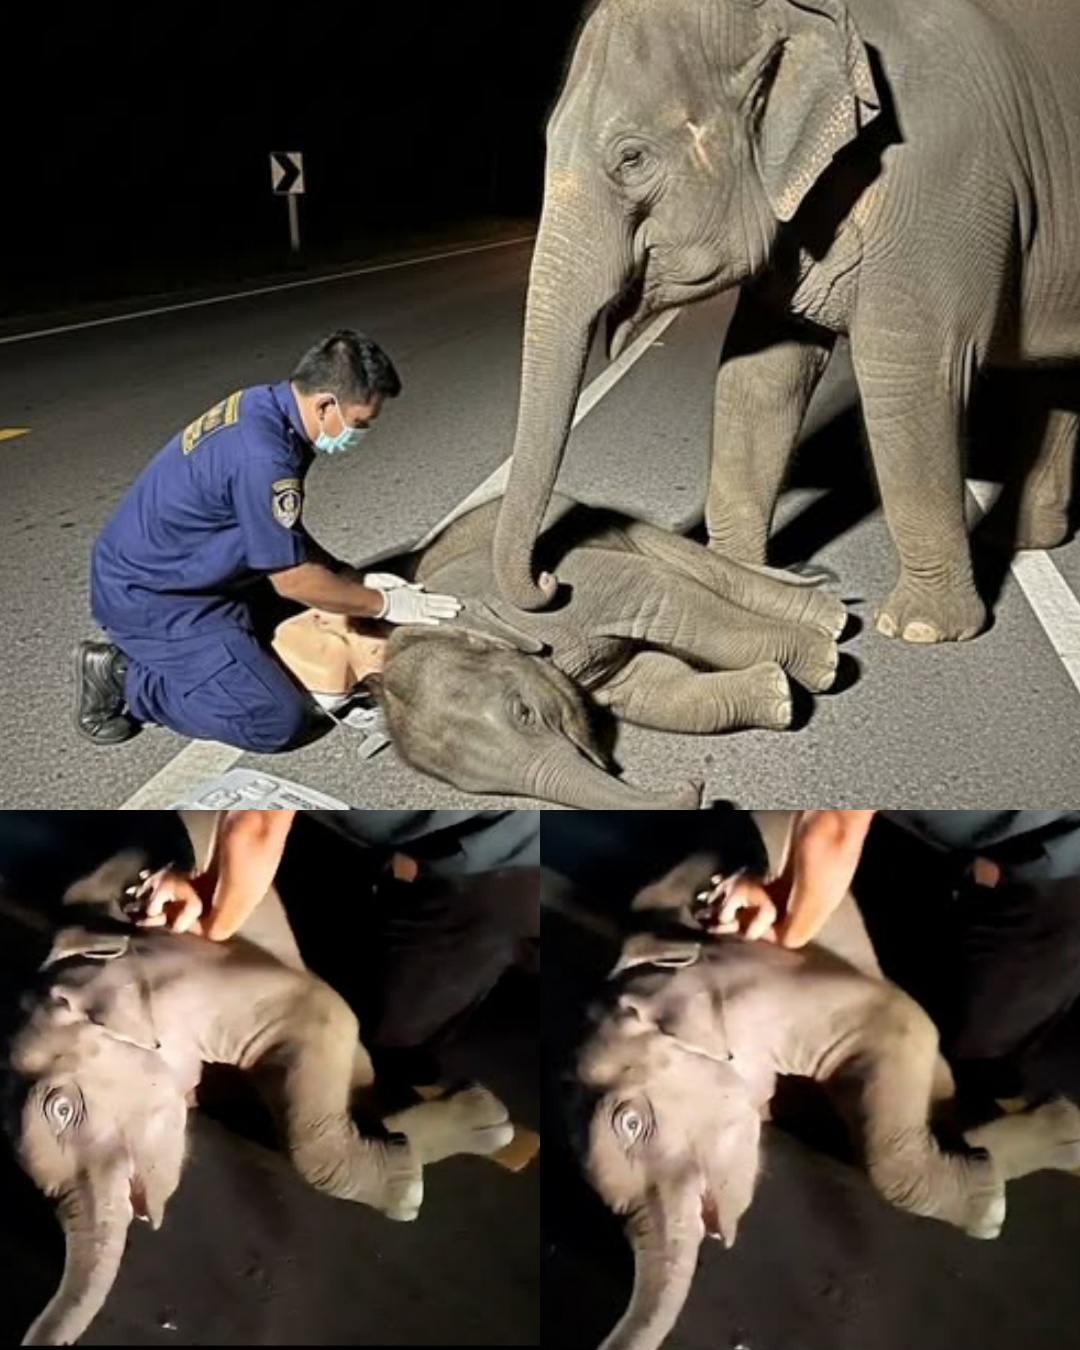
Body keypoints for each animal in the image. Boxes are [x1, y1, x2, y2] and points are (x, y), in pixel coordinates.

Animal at [366, 492, 850, 810]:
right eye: (482, 791)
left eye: (524, 713)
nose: (696, 785)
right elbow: (655, 688)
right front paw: (780, 697)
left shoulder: (567, 592)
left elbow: (661, 594)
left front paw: (822, 670)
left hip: (606, 523)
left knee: (697, 570)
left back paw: (834, 619)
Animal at [491, 0, 1080, 645]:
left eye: (631, 158)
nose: (551, 580)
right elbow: (760, 373)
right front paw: (740, 577)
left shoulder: (942, 182)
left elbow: (911, 371)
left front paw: (920, 629)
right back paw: (1024, 538)